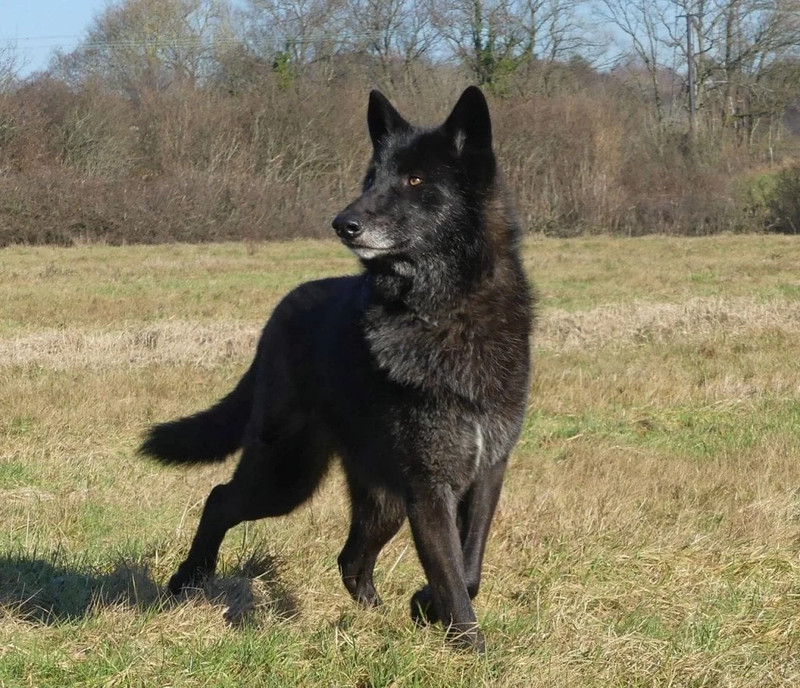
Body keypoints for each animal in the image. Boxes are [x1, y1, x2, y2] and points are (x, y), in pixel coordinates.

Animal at [141, 87, 536, 652]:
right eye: (371, 180)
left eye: (415, 181)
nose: (342, 223)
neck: (444, 311)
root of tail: (277, 315)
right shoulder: (428, 487)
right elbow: (452, 578)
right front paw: (470, 650)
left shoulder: (486, 472)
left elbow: (469, 568)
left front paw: (426, 607)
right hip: (287, 476)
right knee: (219, 499)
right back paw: (188, 578)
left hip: (382, 500)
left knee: (350, 559)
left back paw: (373, 615)